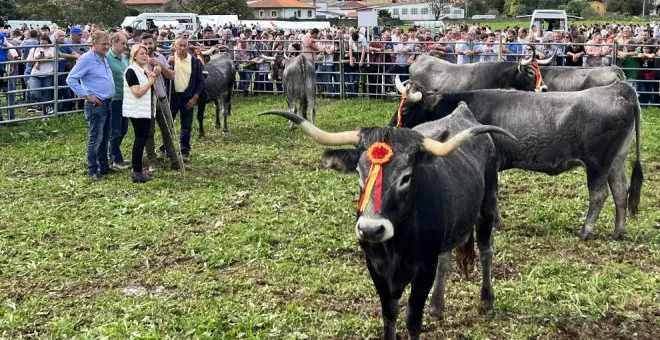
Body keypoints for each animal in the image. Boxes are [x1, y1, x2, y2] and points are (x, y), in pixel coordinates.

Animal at [260, 104, 520, 340]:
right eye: (359, 173)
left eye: (406, 177)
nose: (370, 229)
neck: (396, 245)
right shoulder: (376, 268)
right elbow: (389, 314)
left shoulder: (424, 270)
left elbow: (413, 319)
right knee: (446, 259)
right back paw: (437, 305)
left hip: (487, 206)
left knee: (486, 251)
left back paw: (486, 300)